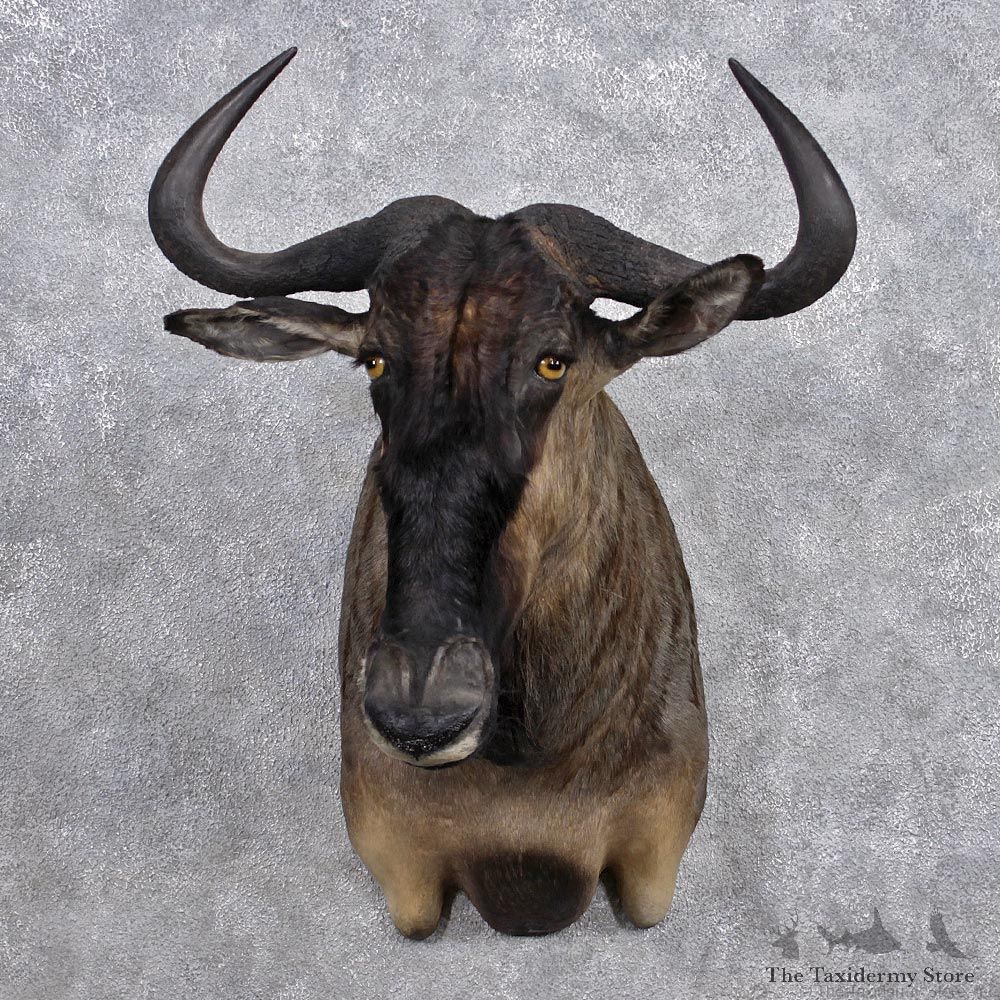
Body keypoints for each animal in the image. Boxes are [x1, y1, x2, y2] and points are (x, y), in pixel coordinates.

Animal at [149, 48, 855, 937]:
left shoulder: (651, 872)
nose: (420, 710)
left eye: (553, 358)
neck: (530, 762)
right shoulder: (406, 882)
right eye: (374, 357)